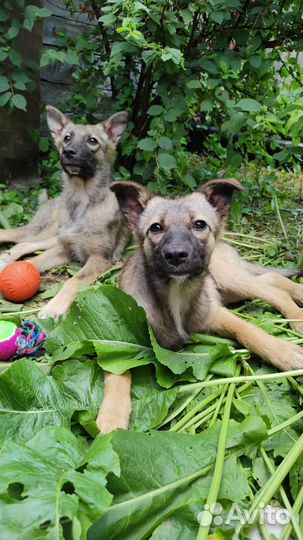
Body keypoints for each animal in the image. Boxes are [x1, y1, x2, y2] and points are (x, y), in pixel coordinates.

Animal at [0, 107, 130, 318]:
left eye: (92, 140)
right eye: (67, 138)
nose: (68, 152)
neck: (81, 200)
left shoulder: (99, 258)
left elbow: (73, 280)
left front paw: (53, 307)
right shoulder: (67, 248)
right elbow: (36, 261)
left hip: (53, 236)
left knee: (25, 244)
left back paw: (6, 258)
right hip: (47, 231)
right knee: (15, 236)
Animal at [97, 179, 303, 432]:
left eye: (199, 224)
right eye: (156, 228)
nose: (176, 255)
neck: (177, 293)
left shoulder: (216, 313)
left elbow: (249, 331)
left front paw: (284, 352)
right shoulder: (126, 334)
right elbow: (117, 368)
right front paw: (111, 416)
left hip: (226, 277)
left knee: (272, 289)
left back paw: (296, 314)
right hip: (228, 289)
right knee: (271, 280)